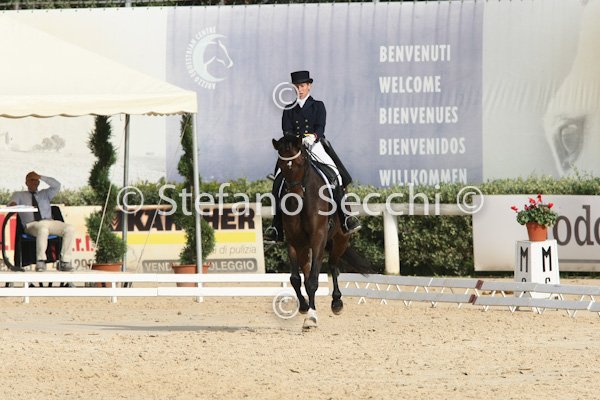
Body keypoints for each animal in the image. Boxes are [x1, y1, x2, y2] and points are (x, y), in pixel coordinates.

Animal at [272, 133, 373, 329]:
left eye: (301, 162)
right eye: (280, 164)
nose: (295, 196)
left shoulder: (318, 237)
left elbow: (313, 280)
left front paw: (311, 317)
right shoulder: (293, 241)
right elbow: (295, 279)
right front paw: (304, 307)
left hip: (340, 239)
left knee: (333, 265)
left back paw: (337, 302)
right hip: (305, 246)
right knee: (306, 270)